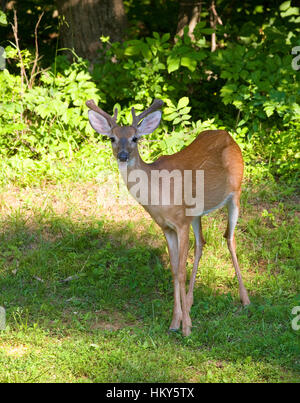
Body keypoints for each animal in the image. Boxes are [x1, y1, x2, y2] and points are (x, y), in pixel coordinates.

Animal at [85, 98, 250, 338]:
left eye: (135, 138)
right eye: (112, 138)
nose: (123, 155)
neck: (158, 192)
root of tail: (227, 135)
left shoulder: (180, 223)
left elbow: (181, 271)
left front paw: (187, 328)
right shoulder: (167, 227)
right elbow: (173, 270)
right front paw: (175, 322)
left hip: (235, 193)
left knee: (229, 238)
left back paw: (245, 299)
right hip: (196, 214)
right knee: (202, 243)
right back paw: (190, 301)